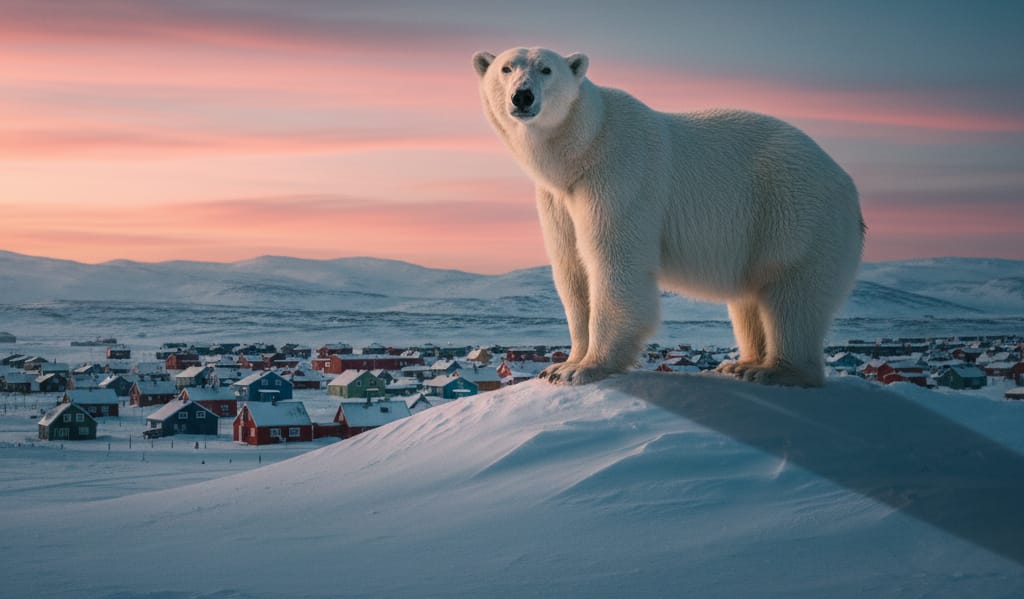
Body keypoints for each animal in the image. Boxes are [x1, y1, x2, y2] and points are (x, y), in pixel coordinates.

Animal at [472, 47, 864, 387]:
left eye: (546, 69)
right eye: (506, 68)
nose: (522, 97)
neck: (584, 146)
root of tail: (848, 185)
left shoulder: (620, 175)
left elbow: (613, 260)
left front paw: (586, 368)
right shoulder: (559, 197)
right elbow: (572, 267)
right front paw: (561, 365)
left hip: (795, 213)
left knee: (791, 293)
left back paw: (774, 370)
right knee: (749, 300)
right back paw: (741, 363)